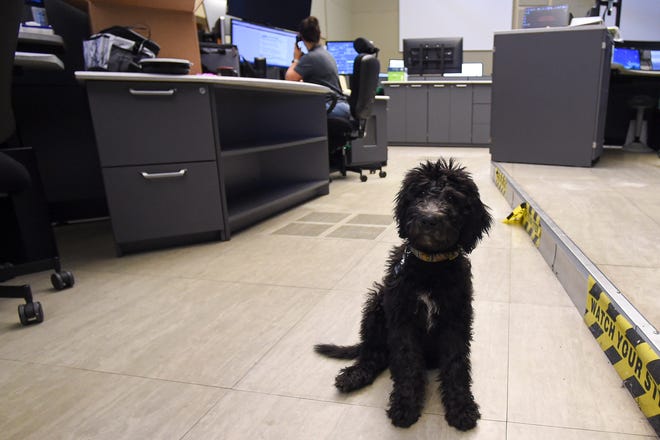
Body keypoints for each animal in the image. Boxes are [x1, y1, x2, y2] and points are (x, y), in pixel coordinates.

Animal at [314, 158, 490, 430]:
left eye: (452, 197)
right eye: (419, 194)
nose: (429, 219)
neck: (430, 266)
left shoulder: (455, 320)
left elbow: (456, 364)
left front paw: (462, 407)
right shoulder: (402, 319)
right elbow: (407, 363)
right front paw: (405, 405)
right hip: (376, 305)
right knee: (374, 353)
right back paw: (355, 375)